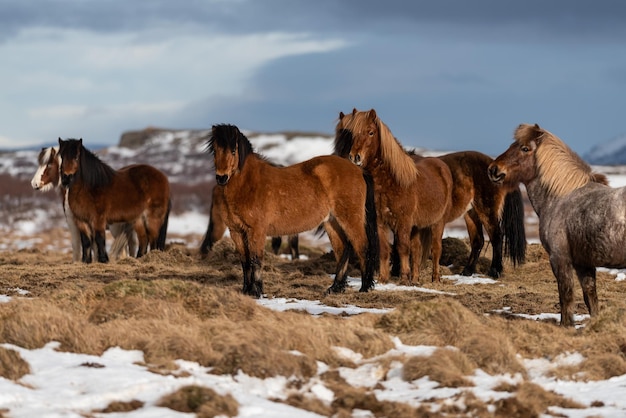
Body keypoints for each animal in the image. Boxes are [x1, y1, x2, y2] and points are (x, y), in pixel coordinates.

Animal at [207, 124, 378, 298]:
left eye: (233, 151)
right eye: (215, 150)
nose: (221, 178)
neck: (249, 184)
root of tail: (358, 170)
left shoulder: (256, 231)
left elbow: (255, 260)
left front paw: (256, 291)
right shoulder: (236, 231)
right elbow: (245, 261)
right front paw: (246, 291)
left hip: (351, 220)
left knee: (362, 247)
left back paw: (364, 287)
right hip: (332, 222)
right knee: (342, 249)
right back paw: (335, 288)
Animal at [334, 108, 450, 284]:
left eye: (371, 132)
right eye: (352, 133)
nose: (355, 157)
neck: (391, 182)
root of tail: (441, 165)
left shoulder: (403, 222)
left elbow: (402, 248)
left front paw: (403, 278)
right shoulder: (380, 222)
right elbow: (384, 249)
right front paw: (383, 278)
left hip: (437, 223)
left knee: (436, 249)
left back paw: (435, 278)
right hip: (417, 227)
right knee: (417, 250)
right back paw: (415, 279)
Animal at [486, 124, 612, 326]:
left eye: (525, 148)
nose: (493, 169)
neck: (564, 197)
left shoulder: (560, 259)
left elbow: (566, 296)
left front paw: (565, 326)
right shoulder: (583, 263)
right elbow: (590, 297)